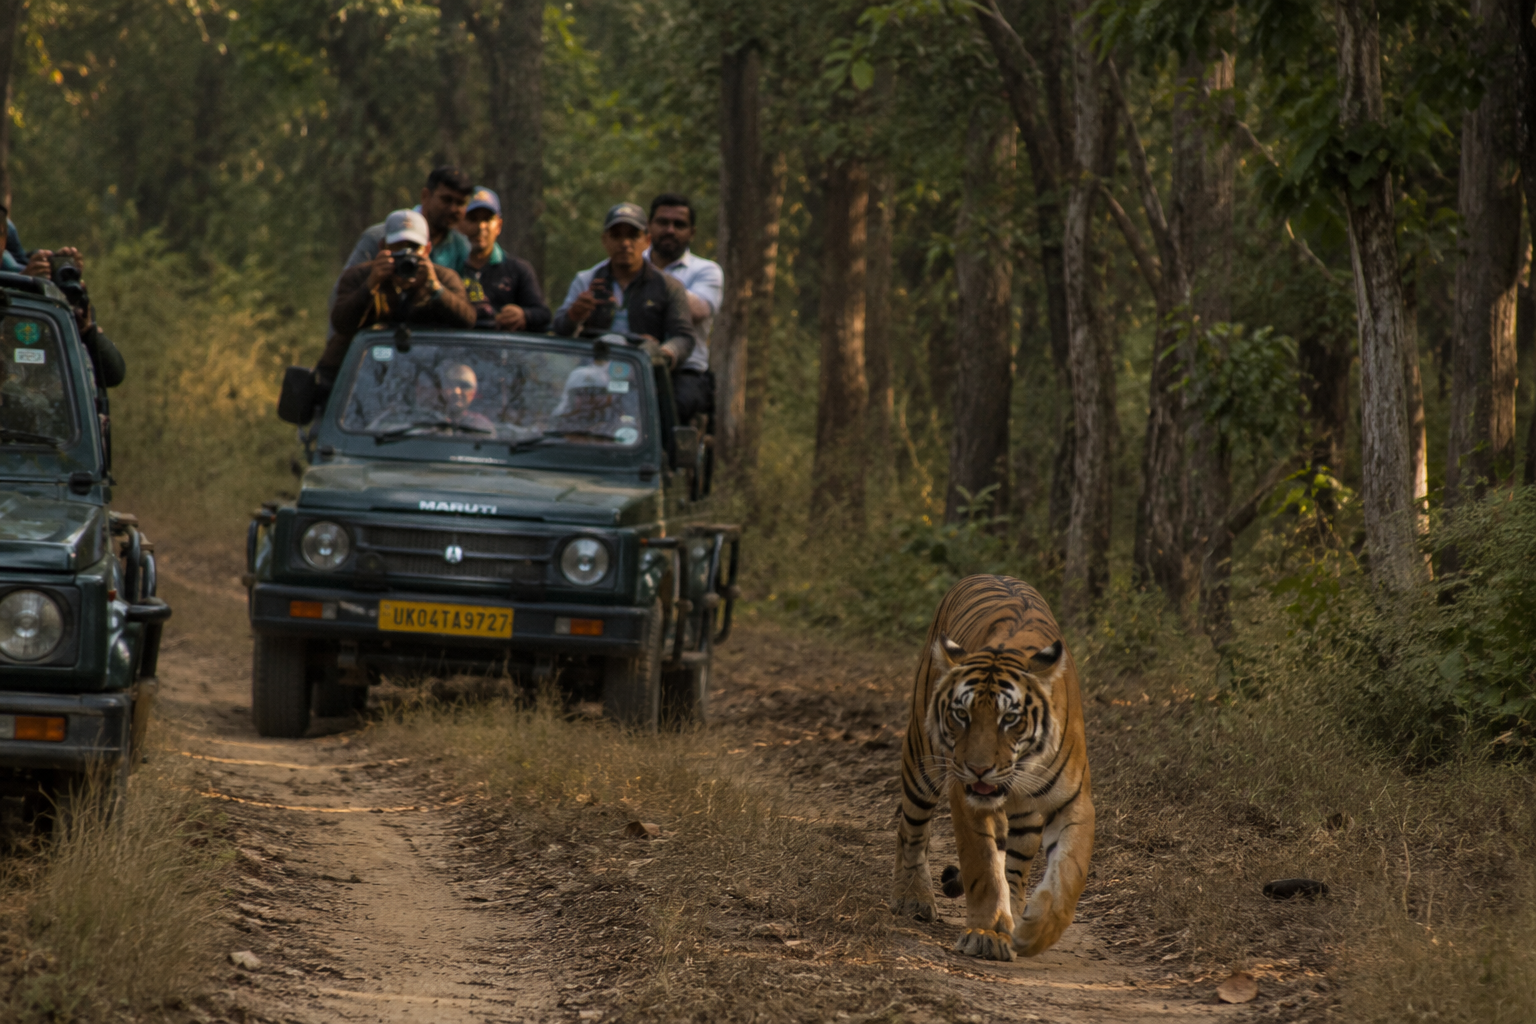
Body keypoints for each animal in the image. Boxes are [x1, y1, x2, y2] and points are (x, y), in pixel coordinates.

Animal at [890, 574, 1094, 961]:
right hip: (922, 762)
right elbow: (982, 865)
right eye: (961, 714)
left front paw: (1033, 933)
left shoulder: (1073, 801)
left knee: (1015, 865)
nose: (978, 768)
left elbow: (1069, 874)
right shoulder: (967, 797)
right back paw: (913, 898)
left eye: (1009, 718)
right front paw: (985, 934)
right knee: (911, 830)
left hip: (1026, 817)